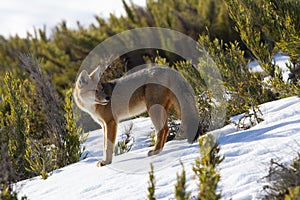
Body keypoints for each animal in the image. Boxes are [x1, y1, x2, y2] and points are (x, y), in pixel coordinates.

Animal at [74, 65, 203, 166]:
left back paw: (155, 151)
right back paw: (160, 150)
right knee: (166, 129)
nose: (108, 98)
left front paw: (106, 162)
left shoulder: (110, 122)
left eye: (101, 89)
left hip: (153, 110)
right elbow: (106, 145)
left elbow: (107, 147)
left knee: (162, 130)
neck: (92, 107)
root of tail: (170, 69)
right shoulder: (103, 125)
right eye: (95, 90)